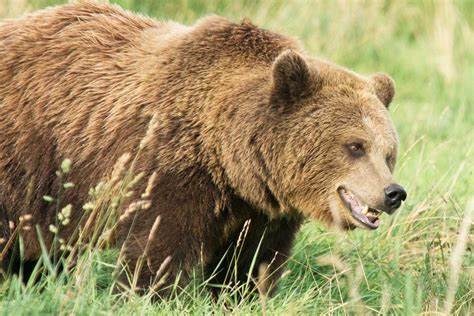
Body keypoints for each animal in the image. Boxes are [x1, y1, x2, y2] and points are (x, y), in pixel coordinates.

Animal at [0, 0, 408, 296]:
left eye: (388, 152)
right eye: (355, 146)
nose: (393, 192)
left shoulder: (261, 209)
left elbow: (251, 261)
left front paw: (243, 294)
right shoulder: (168, 168)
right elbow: (159, 248)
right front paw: (148, 293)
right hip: (27, 159)